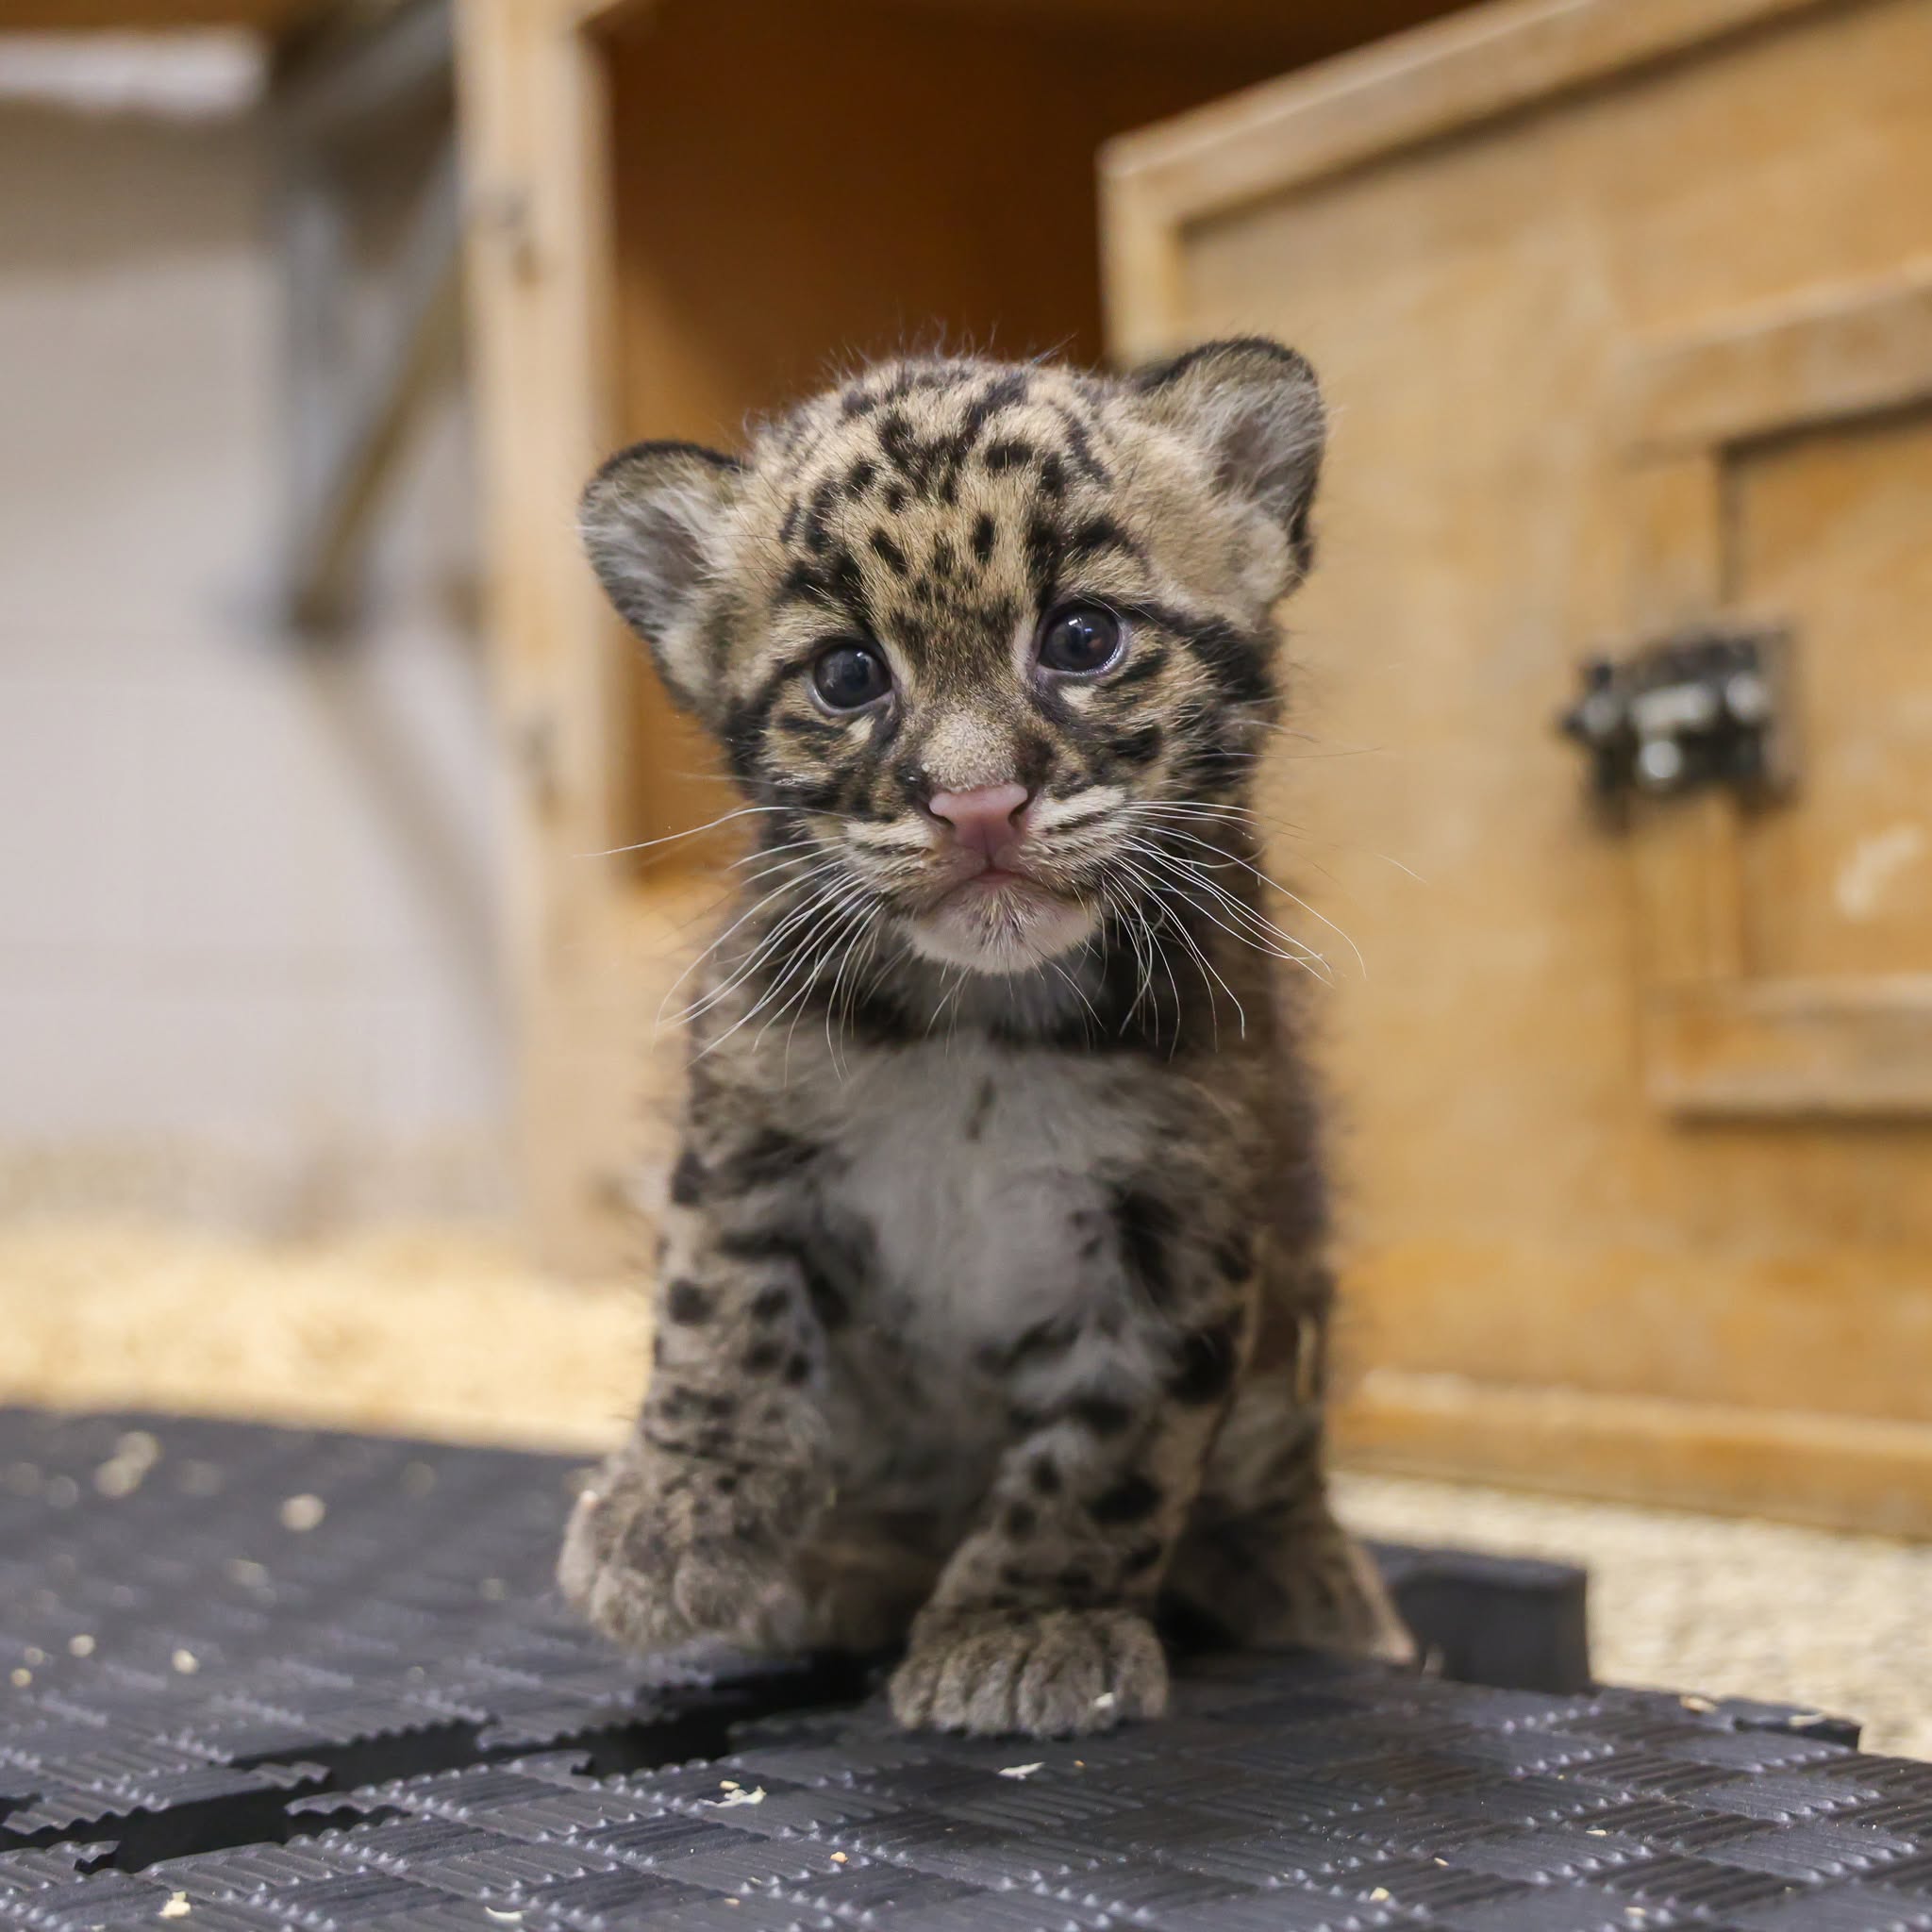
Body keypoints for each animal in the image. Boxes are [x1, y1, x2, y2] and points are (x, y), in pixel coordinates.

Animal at [560, 338, 1412, 1738]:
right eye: (848, 673)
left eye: (1081, 637)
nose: (974, 804)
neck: (981, 1029)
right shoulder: (750, 1123)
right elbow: (716, 1307)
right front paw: (674, 1512)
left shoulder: (1180, 1217)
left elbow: (1110, 1448)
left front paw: (1024, 1625)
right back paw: (833, 1565)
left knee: (1276, 1472)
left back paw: (1316, 1591)